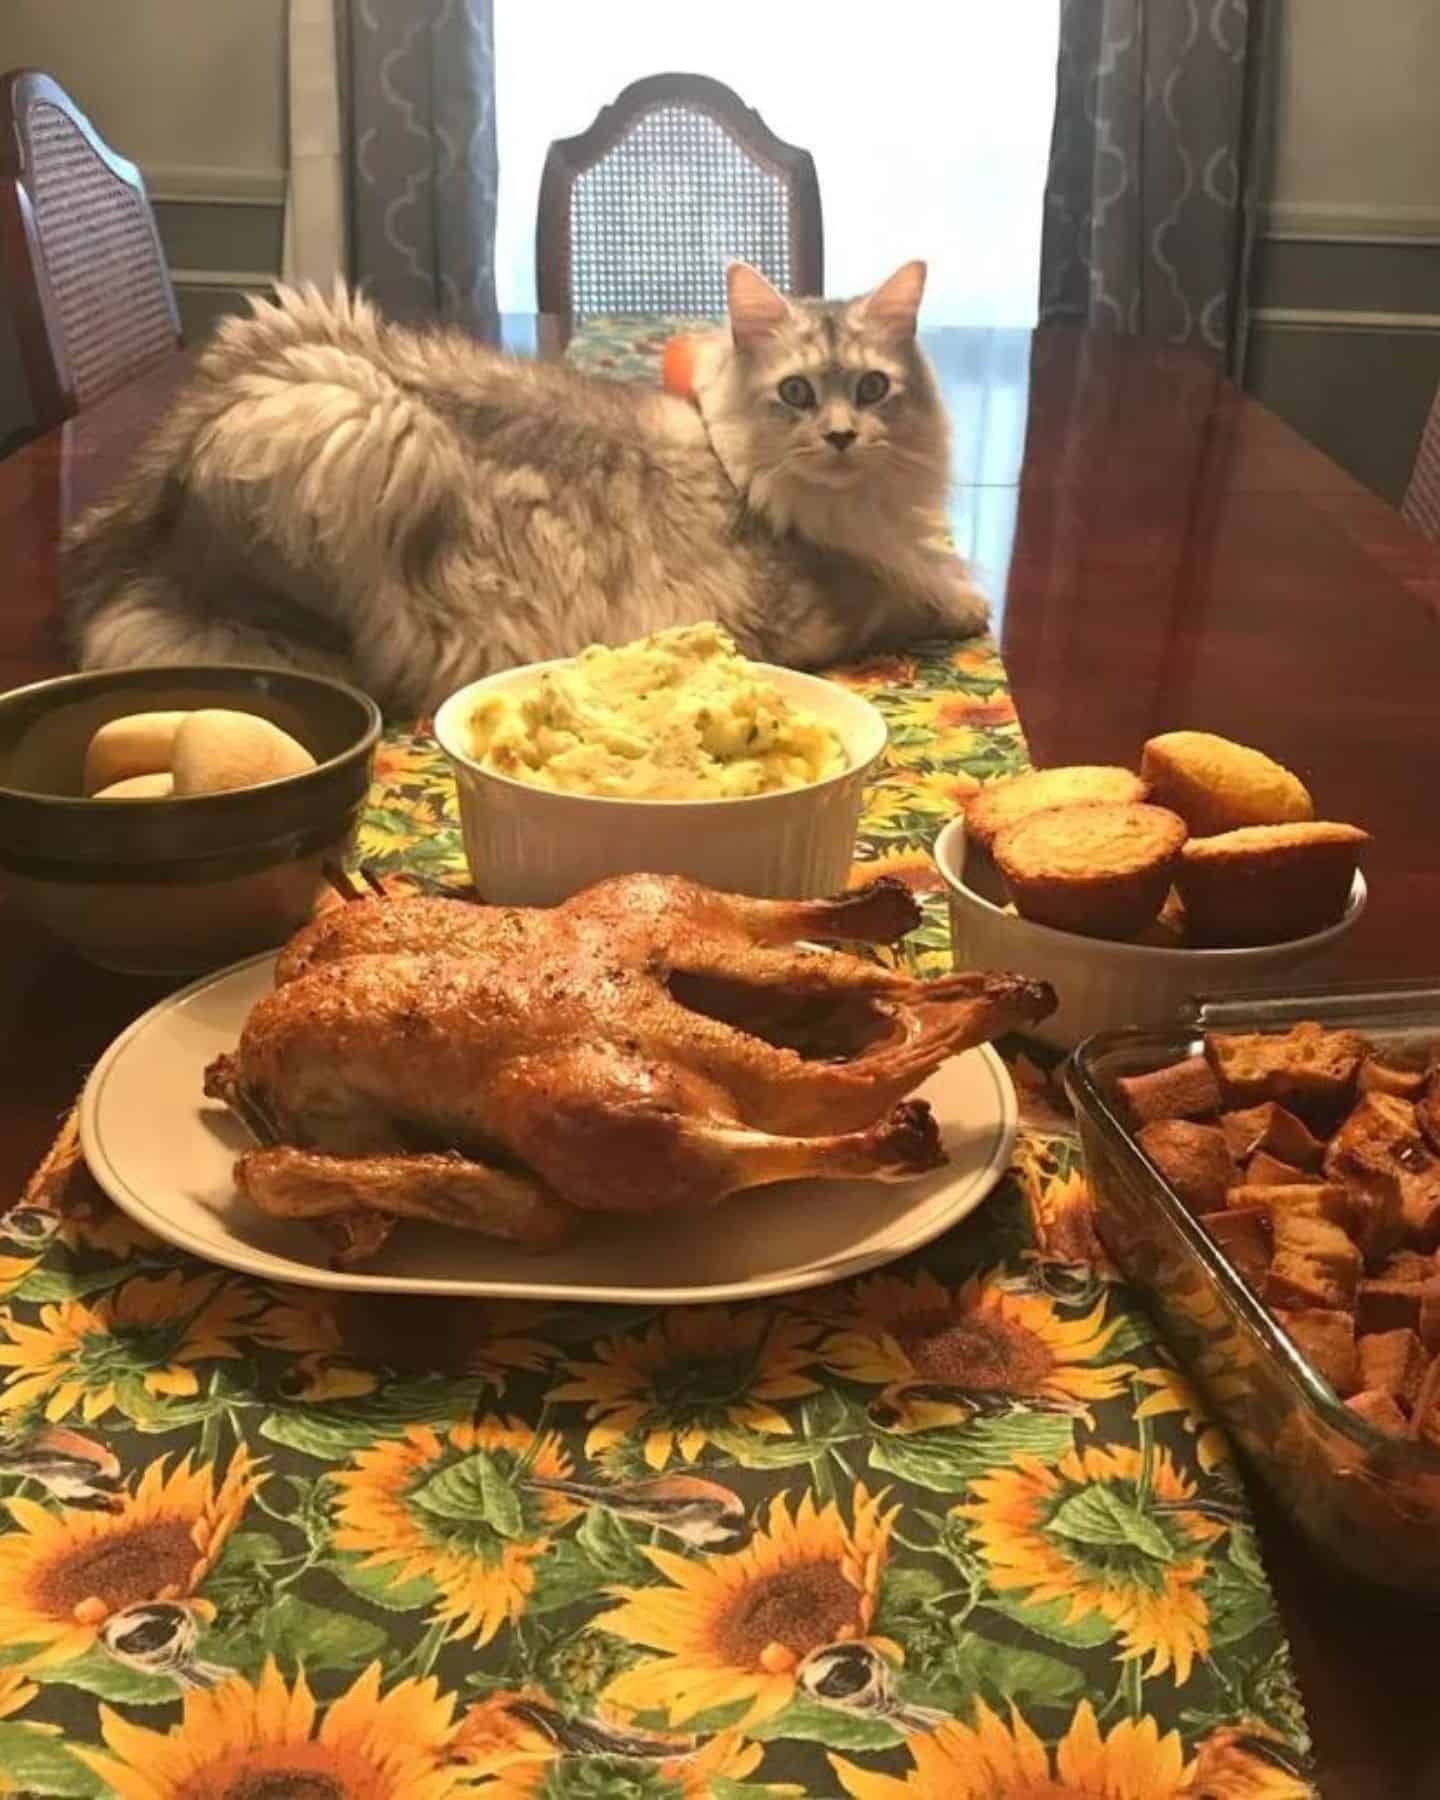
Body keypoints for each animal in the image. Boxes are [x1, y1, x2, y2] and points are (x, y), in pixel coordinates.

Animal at [67, 261, 993, 709]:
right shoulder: (818, 610)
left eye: (871, 388)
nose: (840, 437)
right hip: (361, 426)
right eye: (797, 393)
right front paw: (965, 599)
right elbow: (928, 593)